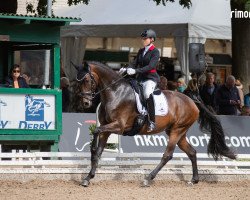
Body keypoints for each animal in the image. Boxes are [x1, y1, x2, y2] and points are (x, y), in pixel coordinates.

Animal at [74, 61, 236, 188]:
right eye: (77, 82)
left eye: (87, 80)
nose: (85, 103)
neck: (115, 92)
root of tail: (192, 101)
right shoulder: (107, 129)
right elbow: (99, 150)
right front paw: (88, 178)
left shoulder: (118, 126)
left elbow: (96, 131)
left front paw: (91, 150)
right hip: (178, 132)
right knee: (192, 152)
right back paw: (194, 180)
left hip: (177, 131)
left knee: (167, 155)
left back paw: (148, 179)